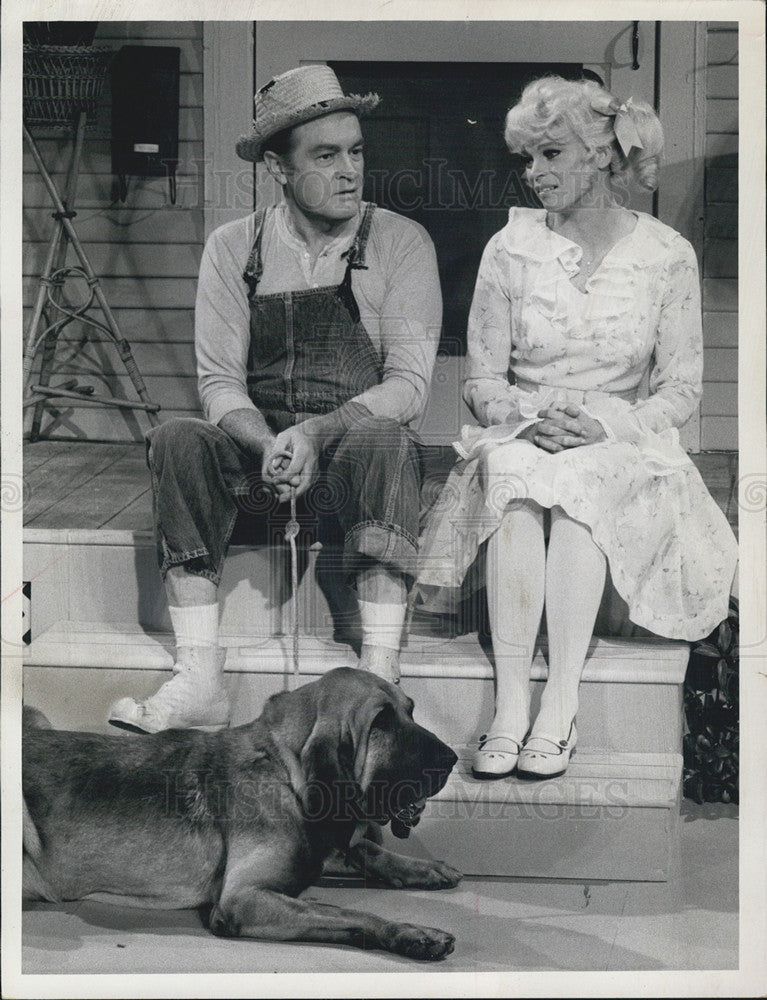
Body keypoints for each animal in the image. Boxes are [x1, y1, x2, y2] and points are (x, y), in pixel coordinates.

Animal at [24, 672, 462, 960]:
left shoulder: (321, 846)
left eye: (410, 710)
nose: (452, 759)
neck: (284, 771)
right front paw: (411, 932)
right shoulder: (244, 898)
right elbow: (347, 911)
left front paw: (423, 868)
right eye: (381, 722)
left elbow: (364, 850)